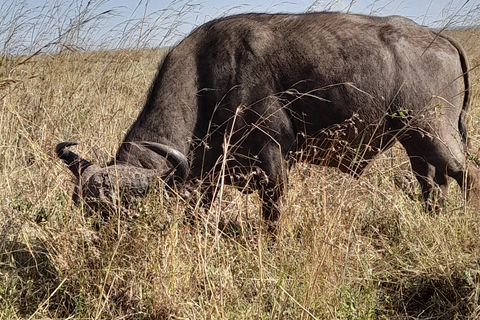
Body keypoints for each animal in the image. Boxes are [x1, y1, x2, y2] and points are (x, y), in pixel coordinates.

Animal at [57, 11, 480, 228]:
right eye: (86, 208)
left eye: (123, 213)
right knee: (431, 187)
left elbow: (272, 215)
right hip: (415, 145)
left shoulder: (273, 159)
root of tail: (438, 38)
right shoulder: (208, 176)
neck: (207, 76)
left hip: (435, 135)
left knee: (467, 176)